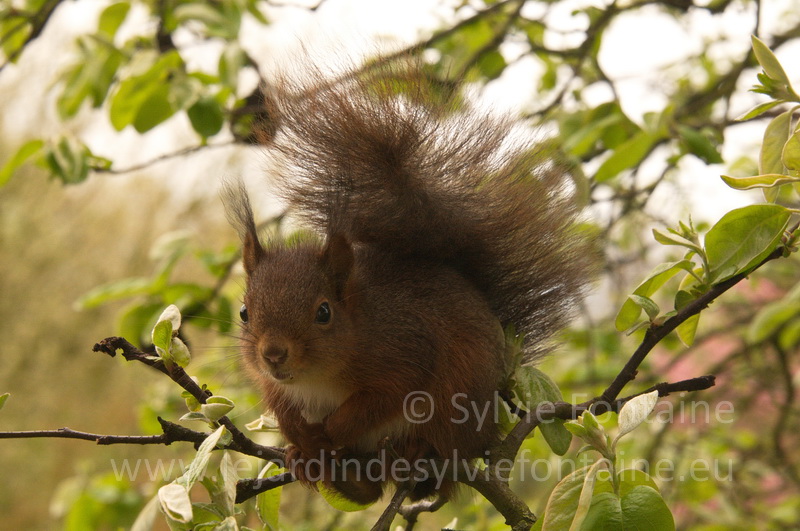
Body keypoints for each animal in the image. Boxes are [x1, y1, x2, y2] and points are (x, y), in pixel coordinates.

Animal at [225, 65, 592, 502]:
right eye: (244, 313)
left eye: (324, 312)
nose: (273, 354)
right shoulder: (276, 387)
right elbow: (281, 406)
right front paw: (301, 438)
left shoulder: (405, 350)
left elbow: (383, 399)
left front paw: (331, 430)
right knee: (365, 491)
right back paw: (319, 464)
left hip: (458, 405)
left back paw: (413, 452)